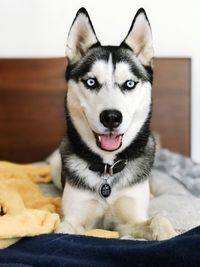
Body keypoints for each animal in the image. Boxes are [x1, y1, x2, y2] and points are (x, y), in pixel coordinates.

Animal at [52, 7, 175, 241]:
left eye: (129, 84)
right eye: (91, 82)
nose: (111, 117)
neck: (107, 171)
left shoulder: (129, 222)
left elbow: (158, 219)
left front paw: (167, 233)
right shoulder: (76, 216)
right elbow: (63, 230)